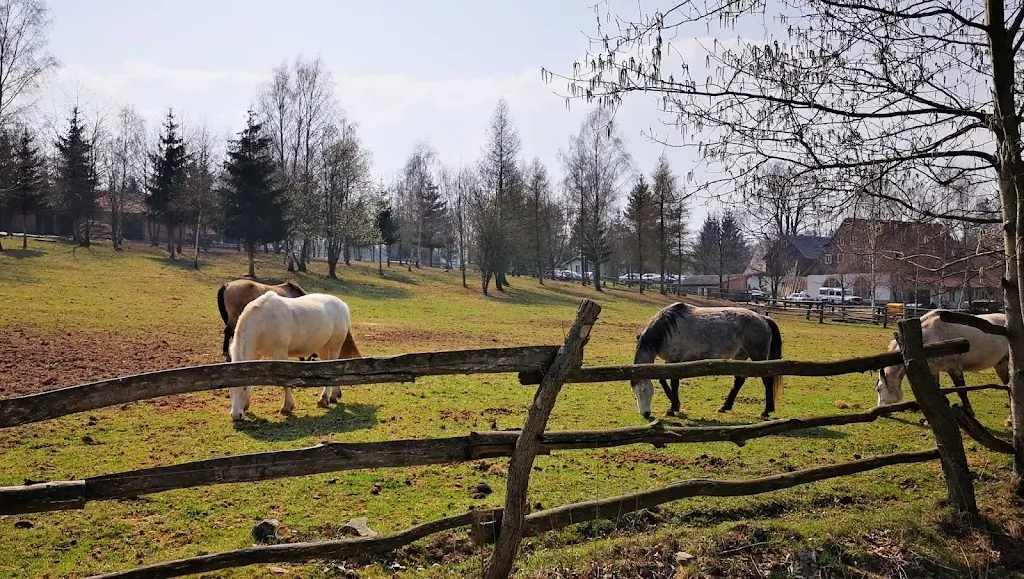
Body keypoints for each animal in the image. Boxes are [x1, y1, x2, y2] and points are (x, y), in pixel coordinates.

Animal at [229, 288, 364, 420]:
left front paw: (287, 407)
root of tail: (342, 305)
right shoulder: (255, 355)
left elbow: (284, 382)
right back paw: (334, 395)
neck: (261, 321)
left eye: (243, 388)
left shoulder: (280, 353)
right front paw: (246, 406)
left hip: (334, 346)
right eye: (229, 388)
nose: (235, 415)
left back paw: (324, 399)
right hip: (323, 348)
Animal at [630, 301, 782, 418]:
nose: (645, 414)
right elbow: (664, 380)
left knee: (767, 380)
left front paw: (673, 408)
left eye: (643, 390)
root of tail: (763, 318)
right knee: (739, 381)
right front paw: (675, 406)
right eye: (635, 394)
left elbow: (673, 382)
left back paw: (766, 411)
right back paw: (725, 407)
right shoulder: (672, 362)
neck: (667, 328)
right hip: (741, 355)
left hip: (758, 356)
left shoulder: (674, 360)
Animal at [876, 309, 1011, 418]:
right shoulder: (933, 369)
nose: (881, 412)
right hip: (1002, 364)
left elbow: (962, 391)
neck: (928, 337)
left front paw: (969, 413)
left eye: (878, 389)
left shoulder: (954, 367)